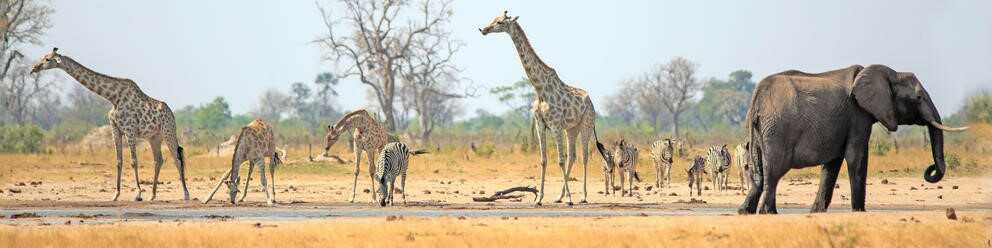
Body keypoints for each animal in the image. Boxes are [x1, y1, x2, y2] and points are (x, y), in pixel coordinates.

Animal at [31, 48, 190, 202]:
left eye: (47, 59)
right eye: (43, 57)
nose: (34, 68)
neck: (113, 98)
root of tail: (172, 114)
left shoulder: (129, 130)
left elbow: (134, 161)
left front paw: (138, 194)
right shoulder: (116, 129)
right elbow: (118, 161)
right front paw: (116, 195)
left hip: (168, 131)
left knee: (177, 159)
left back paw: (185, 194)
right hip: (154, 137)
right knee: (159, 160)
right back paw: (153, 195)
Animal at [480, 10, 612, 204]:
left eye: (500, 22)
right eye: (493, 19)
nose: (483, 29)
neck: (540, 88)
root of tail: (591, 102)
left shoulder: (555, 125)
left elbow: (560, 160)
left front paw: (570, 199)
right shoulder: (540, 125)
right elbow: (544, 160)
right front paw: (539, 198)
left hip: (586, 125)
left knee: (584, 157)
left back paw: (583, 196)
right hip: (571, 129)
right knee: (573, 156)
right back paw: (559, 196)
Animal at [740, 65, 964, 214]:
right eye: (918, 98)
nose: (930, 170)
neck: (889, 73)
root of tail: (757, 98)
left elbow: (832, 165)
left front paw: (816, 213)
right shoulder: (857, 115)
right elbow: (857, 157)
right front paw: (859, 212)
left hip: (760, 129)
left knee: (759, 173)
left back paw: (745, 212)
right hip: (778, 130)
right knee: (773, 172)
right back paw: (768, 213)